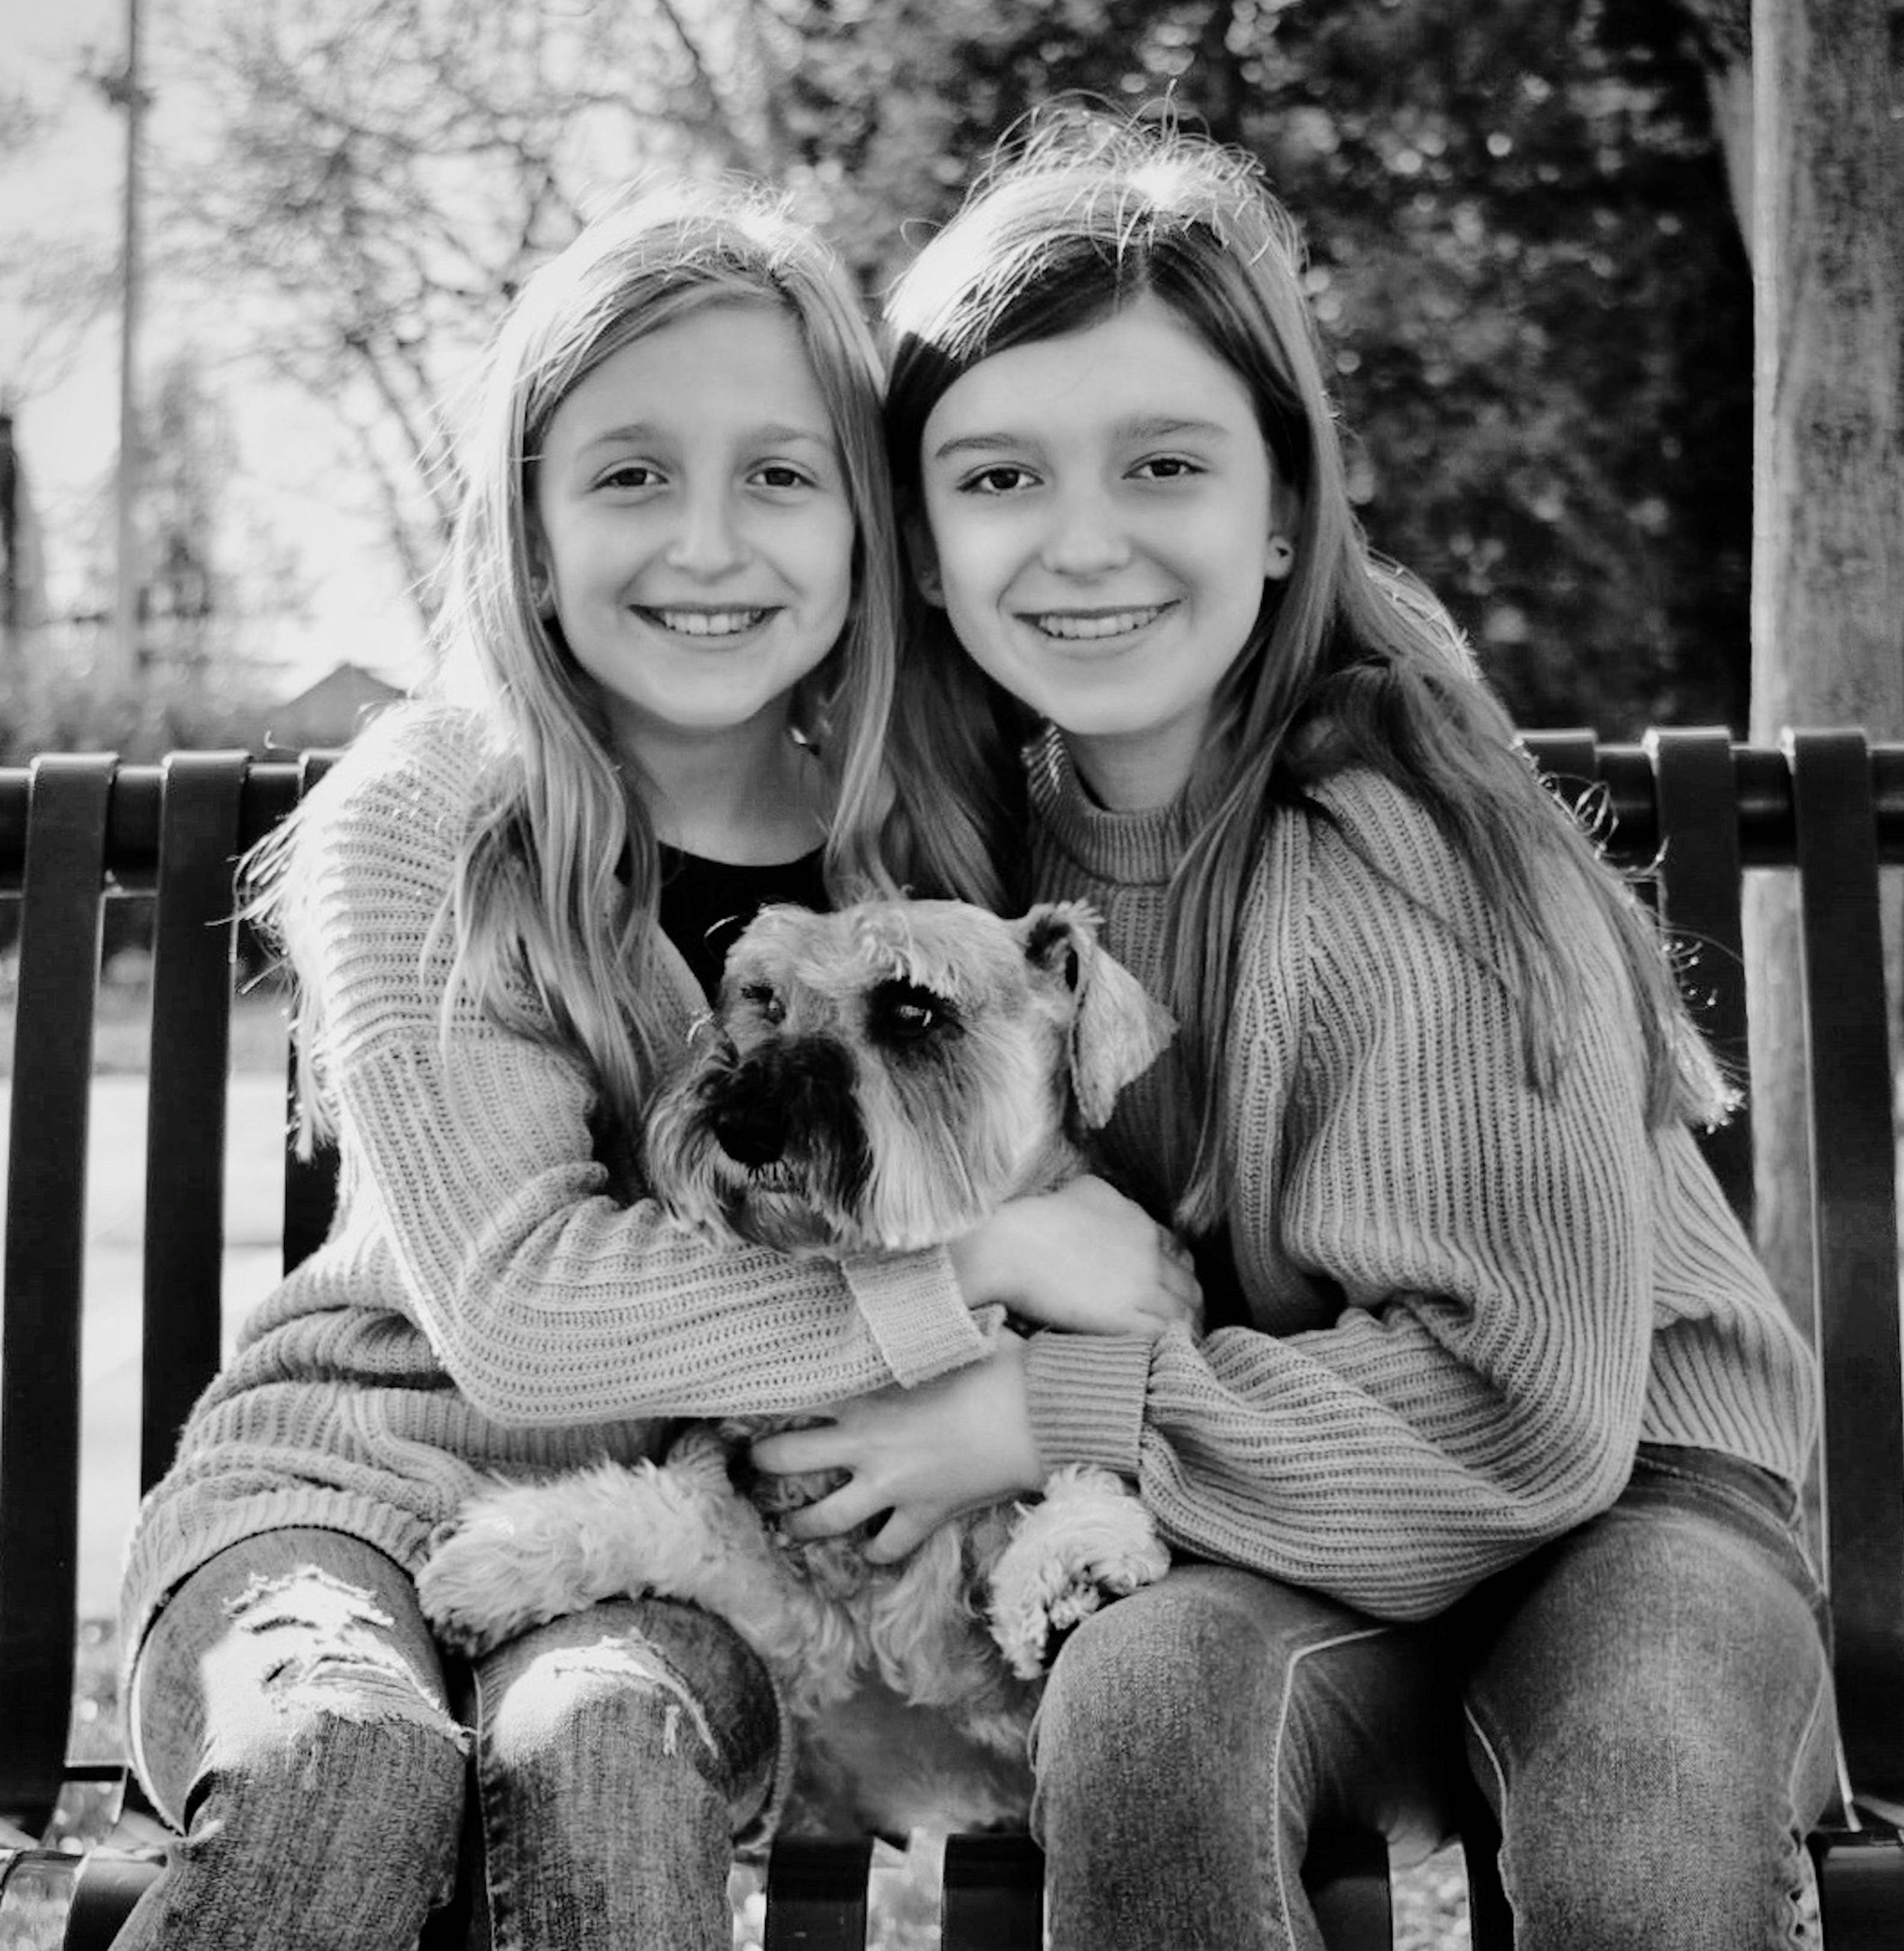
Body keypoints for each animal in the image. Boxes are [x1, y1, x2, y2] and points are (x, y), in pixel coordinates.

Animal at [419, 897, 1178, 1842]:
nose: (742, 1126)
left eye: (914, 1008)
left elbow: (1068, 1487)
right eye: (764, 999)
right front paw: (493, 1559)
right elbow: (658, 1511)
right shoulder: (806, 1624)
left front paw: (1073, 1561)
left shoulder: (993, 1704)